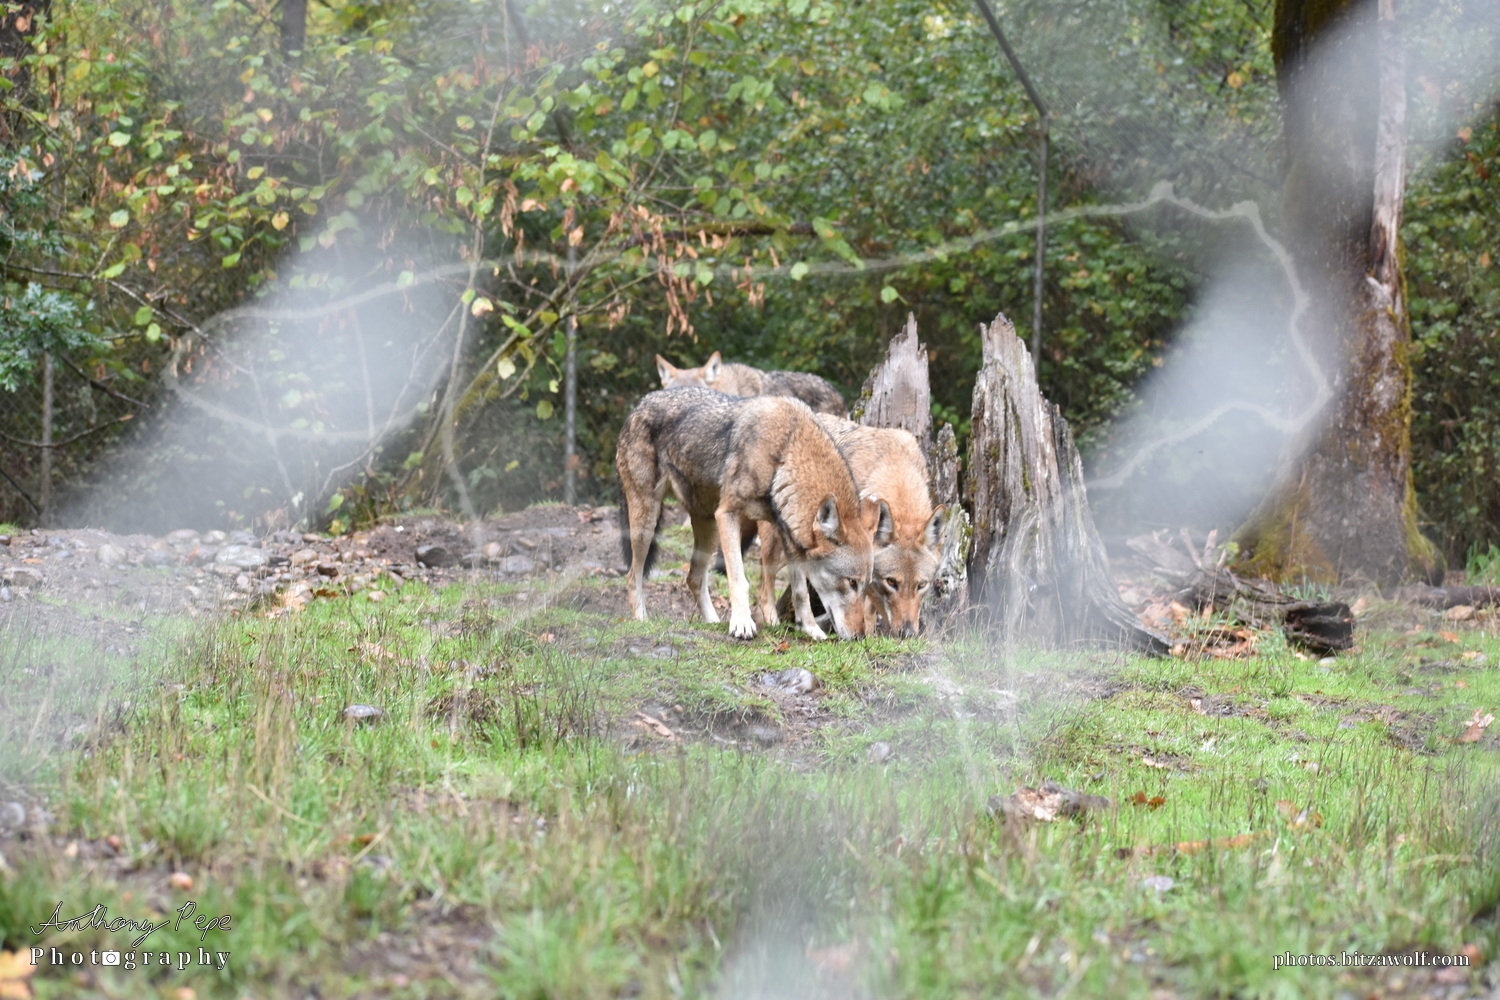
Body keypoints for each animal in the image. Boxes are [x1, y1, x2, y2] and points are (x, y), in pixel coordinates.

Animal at [616, 387, 887, 640]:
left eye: (865, 586)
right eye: (851, 582)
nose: (861, 636)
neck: (784, 450)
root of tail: (640, 404)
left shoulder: (787, 536)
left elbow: (800, 591)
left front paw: (811, 629)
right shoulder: (728, 514)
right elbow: (739, 580)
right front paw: (742, 624)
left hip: (708, 529)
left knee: (693, 578)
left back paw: (712, 621)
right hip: (648, 523)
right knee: (632, 575)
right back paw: (641, 618)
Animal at [757, 416, 944, 638]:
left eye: (921, 585)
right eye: (892, 582)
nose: (907, 633)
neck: (895, 466)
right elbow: (866, 608)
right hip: (777, 546)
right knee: (762, 585)